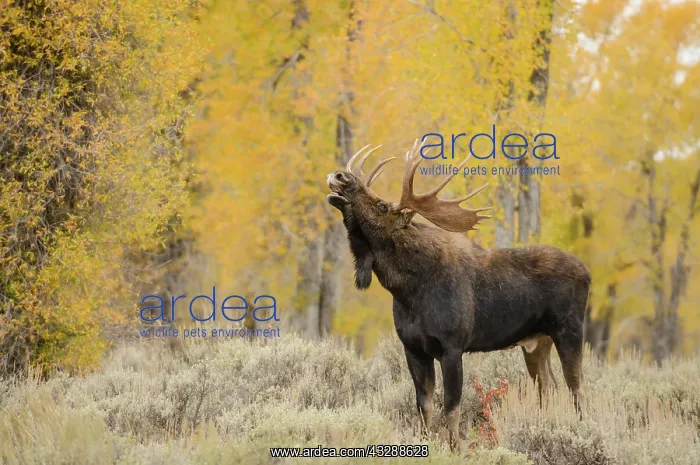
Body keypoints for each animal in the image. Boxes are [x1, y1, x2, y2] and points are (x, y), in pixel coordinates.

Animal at [326, 139, 591, 450]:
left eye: (381, 206)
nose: (340, 176)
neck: (408, 291)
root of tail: (587, 272)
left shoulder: (452, 347)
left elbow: (451, 409)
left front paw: (454, 448)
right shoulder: (413, 348)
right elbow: (424, 407)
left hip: (569, 330)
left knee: (577, 388)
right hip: (537, 341)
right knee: (549, 386)